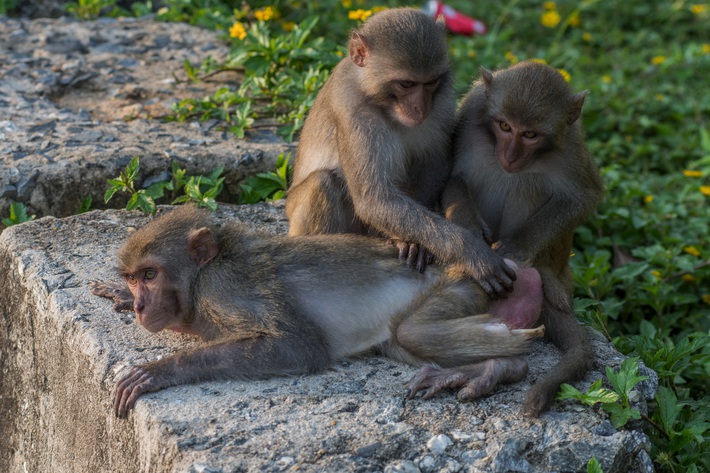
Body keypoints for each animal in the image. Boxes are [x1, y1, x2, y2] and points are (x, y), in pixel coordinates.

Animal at [89, 205, 544, 418]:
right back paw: (493, 369)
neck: (200, 278)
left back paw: (507, 363)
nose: (140, 304)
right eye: (133, 277)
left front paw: (159, 371)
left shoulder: (225, 288)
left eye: (151, 274)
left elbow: (299, 346)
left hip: (460, 285)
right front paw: (119, 295)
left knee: (412, 332)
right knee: (401, 341)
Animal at [284, 6, 516, 298]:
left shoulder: (442, 101)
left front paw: (418, 242)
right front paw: (472, 253)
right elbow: (375, 199)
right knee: (323, 182)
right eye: (406, 84)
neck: (376, 97)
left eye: (430, 82)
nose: (420, 108)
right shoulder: (353, 112)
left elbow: (435, 166)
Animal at [406, 60, 608, 414]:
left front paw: (514, 247)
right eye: (503, 126)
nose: (511, 156)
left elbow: (582, 197)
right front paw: (474, 244)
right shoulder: (472, 109)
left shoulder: (571, 145)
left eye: (530, 134)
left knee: (528, 183)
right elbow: (453, 175)